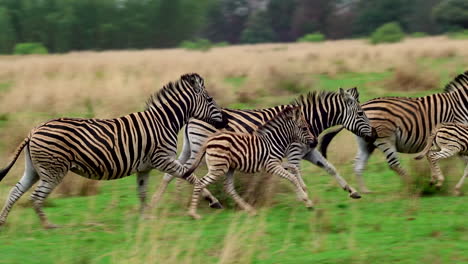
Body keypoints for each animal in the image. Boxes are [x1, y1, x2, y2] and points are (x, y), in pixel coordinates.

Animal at [0, 72, 225, 229]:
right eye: (210, 100)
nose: (224, 121)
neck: (164, 122)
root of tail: (34, 130)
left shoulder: (145, 167)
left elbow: (142, 192)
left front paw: (145, 216)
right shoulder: (163, 159)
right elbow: (191, 176)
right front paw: (213, 201)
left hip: (35, 169)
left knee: (15, 191)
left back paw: (2, 222)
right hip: (53, 170)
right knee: (35, 197)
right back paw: (49, 226)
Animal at [150, 87, 376, 207]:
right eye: (361, 114)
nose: (374, 134)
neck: (308, 120)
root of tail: (191, 118)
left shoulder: (309, 151)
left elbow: (330, 168)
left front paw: (352, 191)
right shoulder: (294, 152)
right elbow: (296, 174)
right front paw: (303, 195)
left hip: (190, 147)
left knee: (175, 172)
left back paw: (161, 200)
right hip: (200, 146)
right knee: (183, 171)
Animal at [183, 106, 318, 220]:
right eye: (305, 128)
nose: (315, 143)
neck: (275, 141)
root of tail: (209, 140)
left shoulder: (275, 163)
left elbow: (294, 168)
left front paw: (304, 189)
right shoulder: (272, 165)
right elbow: (292, 177)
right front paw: (306, 200)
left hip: (229, 167)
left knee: (228, 188)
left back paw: (250, 210)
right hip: (218, 168)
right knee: (200, 183)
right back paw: (193, 213)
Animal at [320, 71, 468, 193]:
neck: (462, 103)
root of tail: (363, 106)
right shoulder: (458, 137)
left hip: (366, 141)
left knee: (358, 164)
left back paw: (365, 191)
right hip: (385, 139)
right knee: (393, 163)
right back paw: (413, 186)